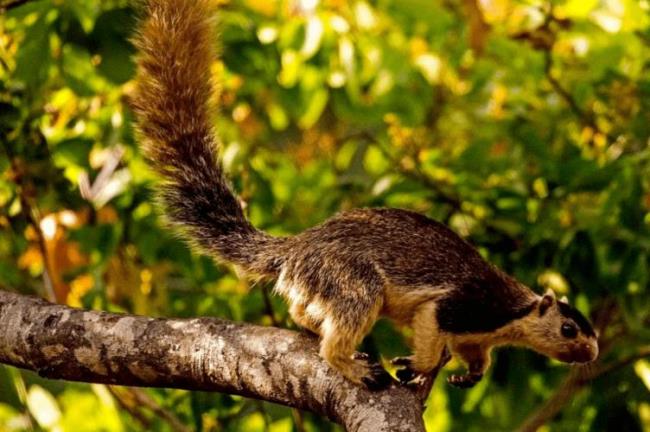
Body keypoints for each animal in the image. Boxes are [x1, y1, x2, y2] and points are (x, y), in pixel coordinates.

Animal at [132, 0, 596, 392]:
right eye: (569, 329)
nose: (591, 353)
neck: (511, 316)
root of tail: (296, 250)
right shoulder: (460, 306)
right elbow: (432, 332)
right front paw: (417, 365)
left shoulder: (476, 333)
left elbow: (477, 356)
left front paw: (470, 375)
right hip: (351, 281)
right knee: (337, 335)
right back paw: (354, 367)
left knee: (303, 312)